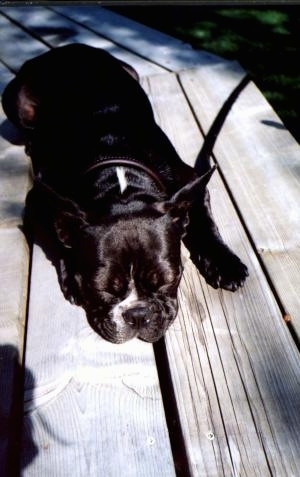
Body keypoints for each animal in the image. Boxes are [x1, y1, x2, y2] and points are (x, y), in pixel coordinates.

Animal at [2, 43, 248, 342]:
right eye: (102, 289)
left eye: (168, 280)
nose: (138, 314)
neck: (120, 179)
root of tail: (64, 49)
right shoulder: (40, 197)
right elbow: (59, 235)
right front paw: (72, 273)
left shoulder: (190, 180)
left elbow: (204, 221)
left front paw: (224, 261)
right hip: (14, 100)